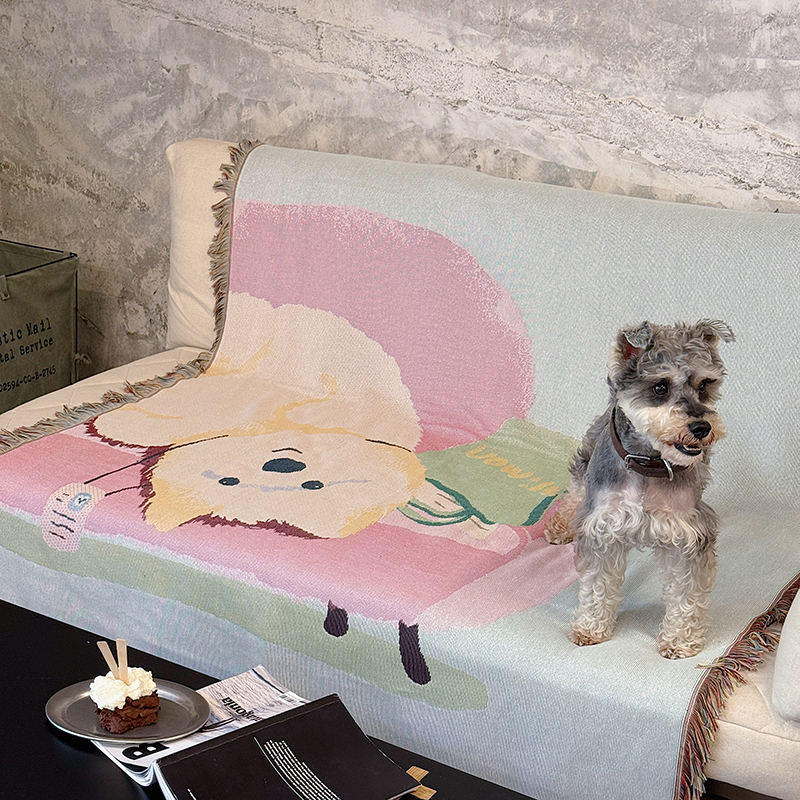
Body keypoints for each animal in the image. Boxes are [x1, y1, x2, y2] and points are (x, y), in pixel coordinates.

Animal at [544, 320, 735, 658]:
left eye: (704, 385)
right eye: (660, 387)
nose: (702, 428)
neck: (649, 463)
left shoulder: (688, 535)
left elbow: (686, 595)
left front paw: (679, 639)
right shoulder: (603, 528)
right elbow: (596, 585)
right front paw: (590, 627)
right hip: (587, 457)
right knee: (576, 489)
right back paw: (561, 525)